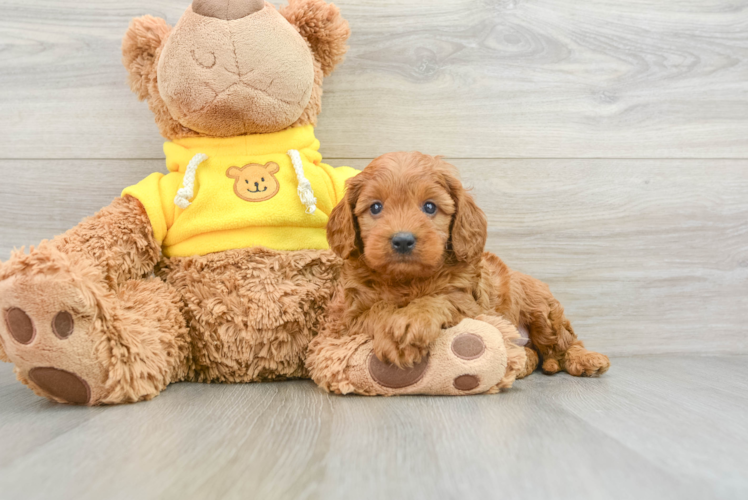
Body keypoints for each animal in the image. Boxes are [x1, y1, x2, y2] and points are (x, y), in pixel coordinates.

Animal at [330, 150, 612, 376]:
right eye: (375, 207)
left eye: (430, 207)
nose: (402, 240)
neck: (406, 280)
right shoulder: (349, 318)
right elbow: (377, 309)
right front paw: (394, 332)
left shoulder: (470, 304)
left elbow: (440, 298)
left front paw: (410, 323)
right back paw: (523, 364)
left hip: (543, 311)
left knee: (564, 343)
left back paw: (587, 359)